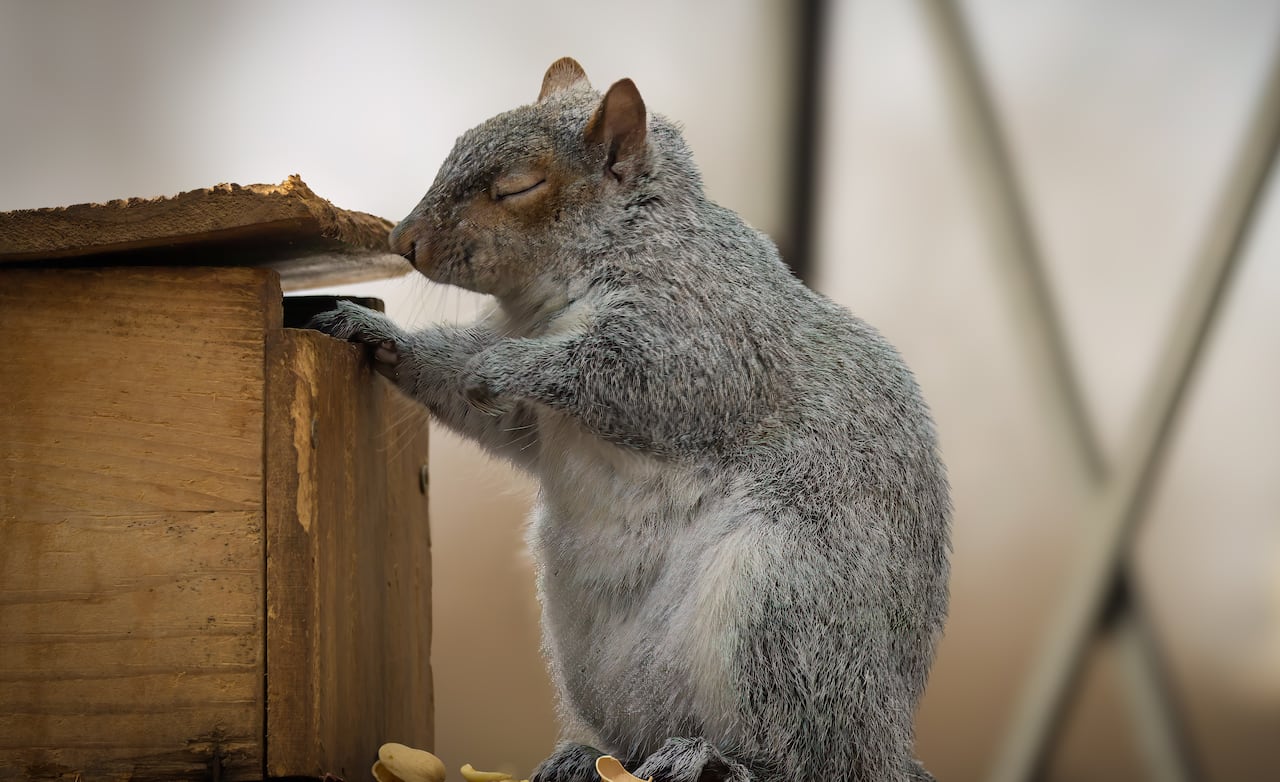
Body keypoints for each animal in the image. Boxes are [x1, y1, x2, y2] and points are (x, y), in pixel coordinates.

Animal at [312, 57, 951, 782]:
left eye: (518, 187)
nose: (403, 242)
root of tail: (885, 748)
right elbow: (497, 414)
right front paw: (373, 330)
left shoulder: (711, 338)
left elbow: (626, 377)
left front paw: (503, 364)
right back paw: (591, 756)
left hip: (781, 613)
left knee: (798, 757)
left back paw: (714, 758)